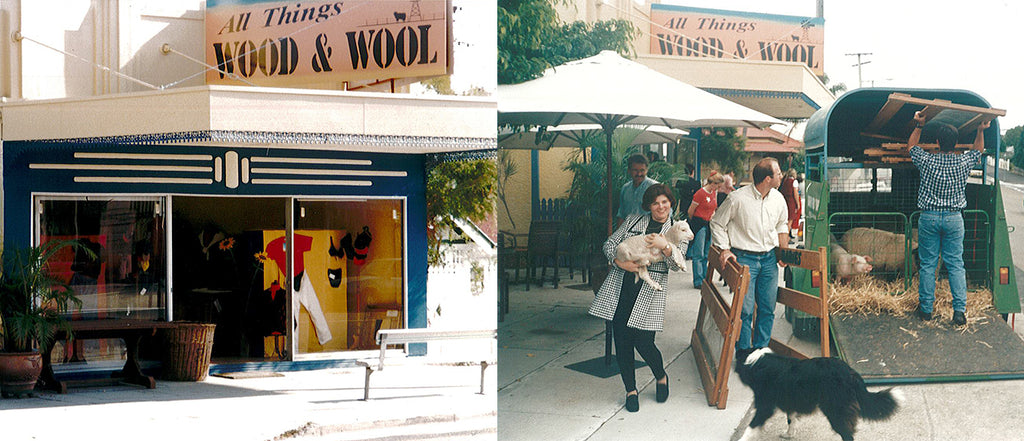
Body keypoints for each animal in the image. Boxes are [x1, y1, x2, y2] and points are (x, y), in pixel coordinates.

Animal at [737, 347, 905, 441]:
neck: (758, 362)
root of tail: (851, 372)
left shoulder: (765, 406)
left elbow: (751, 427)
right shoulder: (791, 400)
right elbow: (791, 419)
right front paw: (789, 435)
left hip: (836, 412)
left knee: (848, 436)